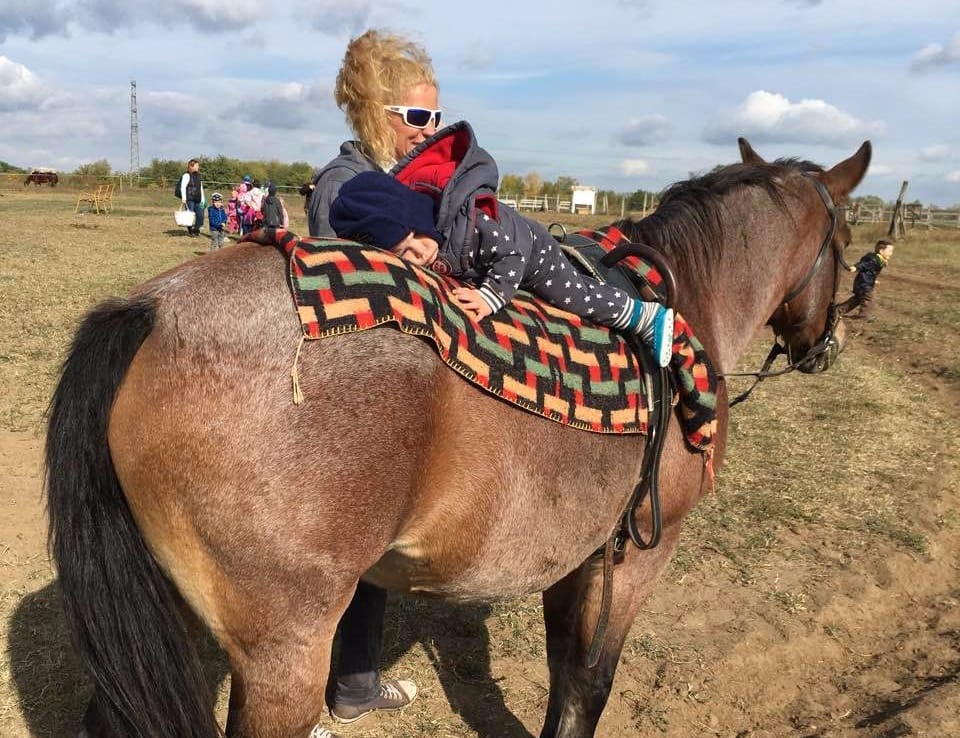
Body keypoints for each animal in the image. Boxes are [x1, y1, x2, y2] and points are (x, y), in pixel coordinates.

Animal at [45, 138, 870, 738]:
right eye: (846, 242)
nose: (827, 345)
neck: (684, 298)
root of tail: (150, 311)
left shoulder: (579, 557)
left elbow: (564, 673)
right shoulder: (639, 555)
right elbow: (588, 685)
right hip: (281, 658)